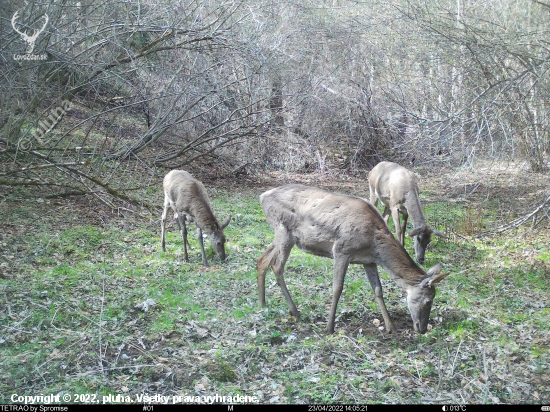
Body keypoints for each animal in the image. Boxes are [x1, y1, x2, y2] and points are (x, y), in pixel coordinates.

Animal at [256, 184, 450, 334]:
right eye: (428, 300)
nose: (422, 329)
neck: (373, 242)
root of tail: (262, 196)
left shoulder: (369, 261)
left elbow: (378, 291)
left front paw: (390, 326)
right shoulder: (342, 249)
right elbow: (337, 288)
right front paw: (329, 327)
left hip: (281, 236)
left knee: (262, 260)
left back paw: (263, 303)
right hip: (284, 231)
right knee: (277, 266)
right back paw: (295, 312)